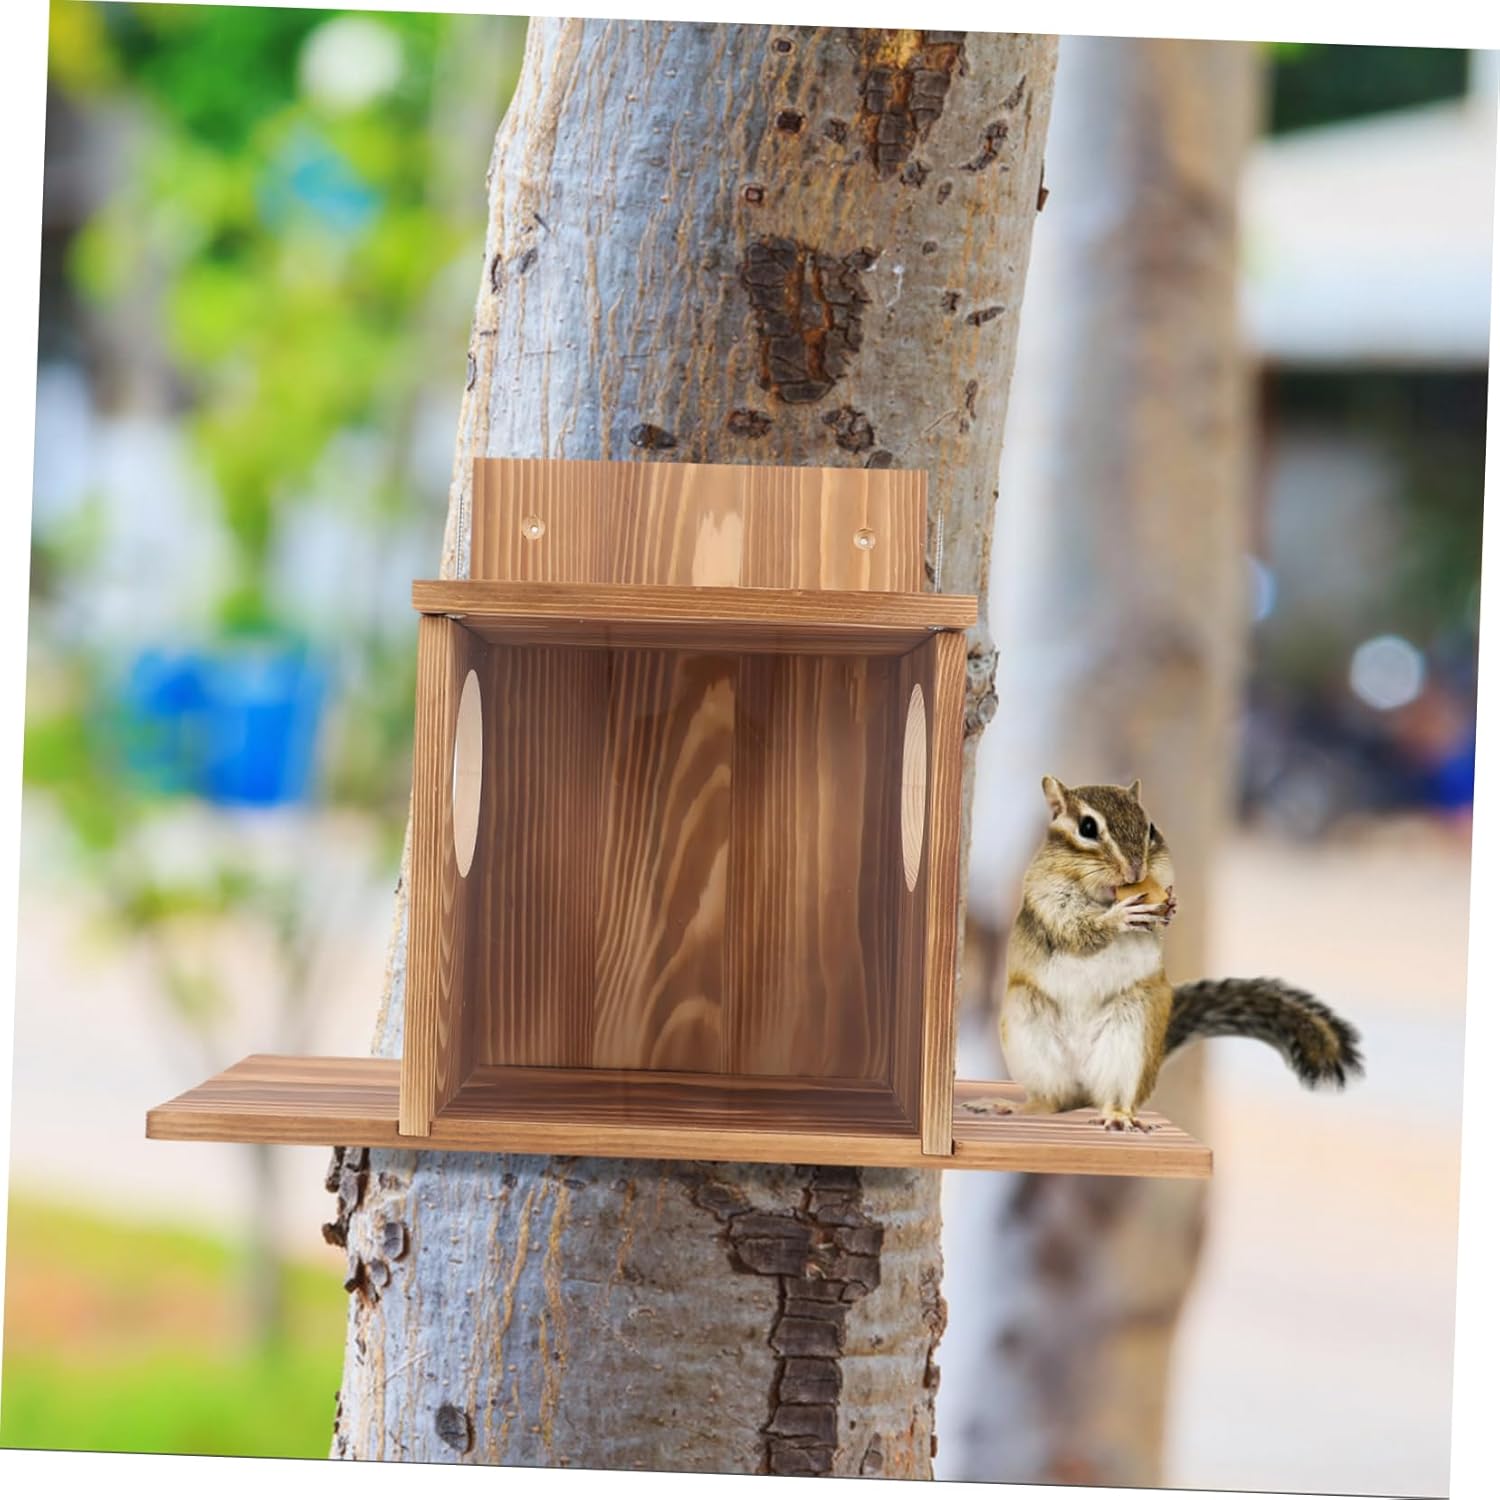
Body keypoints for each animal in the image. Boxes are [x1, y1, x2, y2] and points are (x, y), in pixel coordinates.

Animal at [977, 775, 1363, 1132]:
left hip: (1133, 1033)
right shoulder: (1045, 896)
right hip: (1028, 1026)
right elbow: (1075, 928)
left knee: (1112, 1095)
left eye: (1150, 827)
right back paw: (1013, 1107)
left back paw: (1118, 1116)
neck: (1103, 896)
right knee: (1053, 1100)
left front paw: (1169, 908)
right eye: (1087, 827)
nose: (1136, 869)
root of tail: (1085, 1087)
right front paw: (1120, 917)